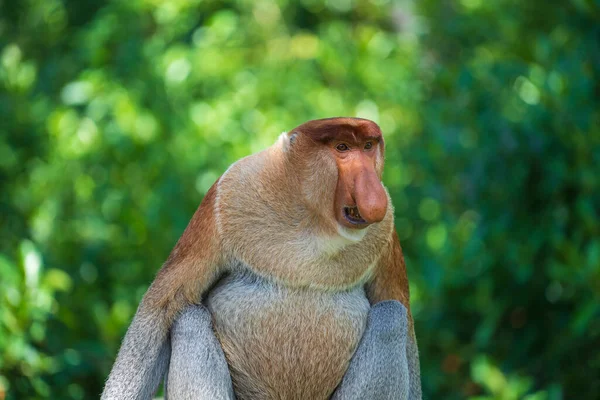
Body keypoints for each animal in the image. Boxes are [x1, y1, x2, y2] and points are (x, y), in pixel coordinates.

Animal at [102, 117, 422, 398]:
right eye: (342, 147)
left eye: (368, 147)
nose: (373, 196)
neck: (311, 218)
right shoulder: (226, 196)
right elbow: (163, 304)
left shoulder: (386, 229)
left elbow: (400, 316)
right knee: (189, 318)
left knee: (392, 316)